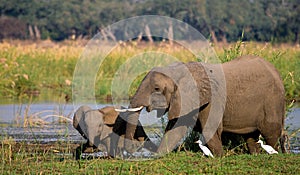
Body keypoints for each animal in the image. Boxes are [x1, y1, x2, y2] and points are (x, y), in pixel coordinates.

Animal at [118, 55, 286, 156]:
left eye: (157, 88)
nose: (133, 147)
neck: (181, 69)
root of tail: (276, 72)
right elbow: (174, 130)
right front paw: (158, 156)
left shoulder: (214, 98)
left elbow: (209, 129)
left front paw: (219, 157)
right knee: (251, 137)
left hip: (272, 100)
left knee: (271, 132)